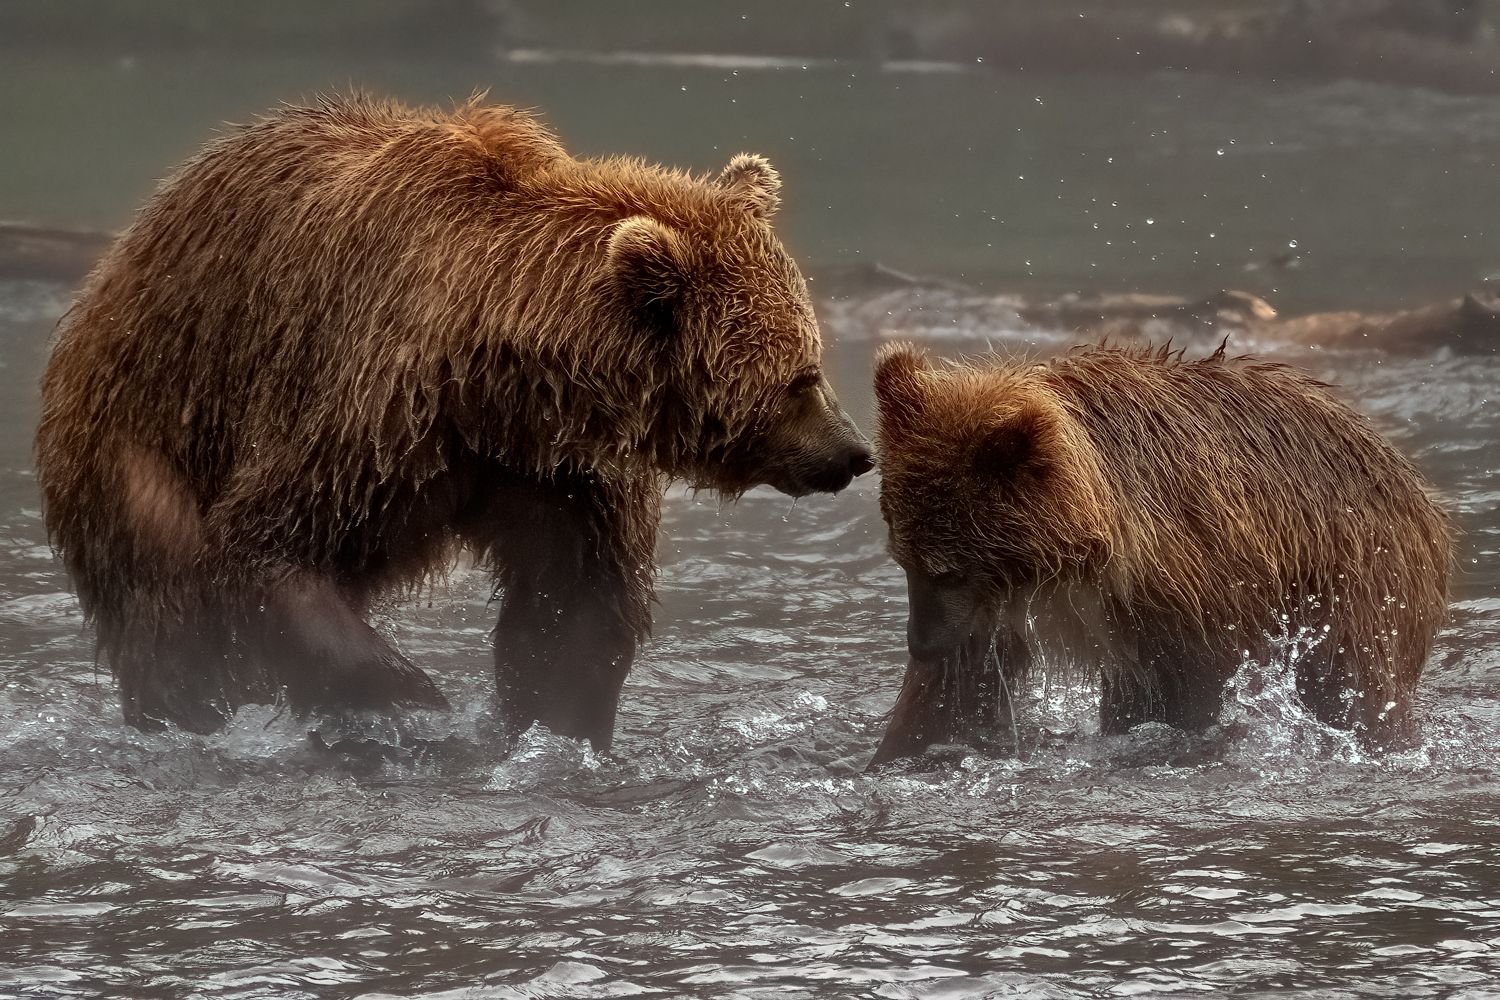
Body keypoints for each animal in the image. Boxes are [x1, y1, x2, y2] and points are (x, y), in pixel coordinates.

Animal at [35, 95, 876, 749]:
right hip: (141, 430)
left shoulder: (557, 472)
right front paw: (411, 691)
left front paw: (553, 720)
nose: (854, 452)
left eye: (812, 359)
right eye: (800, 377)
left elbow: (573, 606)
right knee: (171, 605)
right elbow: (268, 541)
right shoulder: (375, 408)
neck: (501, 389)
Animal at [870, 344, 1452, 767]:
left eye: (949, 569)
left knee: (1355, 685)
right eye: (905, 561)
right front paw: (899, 752)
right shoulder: (996, 610)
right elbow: (955, 690)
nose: (920, 644)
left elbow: (1176, 690)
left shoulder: (1182, 588)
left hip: (1357, 581)